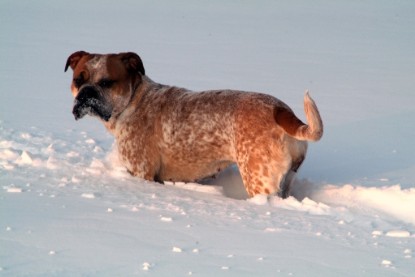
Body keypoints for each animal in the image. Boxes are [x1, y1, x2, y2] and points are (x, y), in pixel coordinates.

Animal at [66, 51, 324, 198]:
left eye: (107, 82)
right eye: (78, 80)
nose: (85, 94)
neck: (134, 100)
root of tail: (280, 110)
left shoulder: (142, 172)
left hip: (259, 181)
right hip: (287, 179)